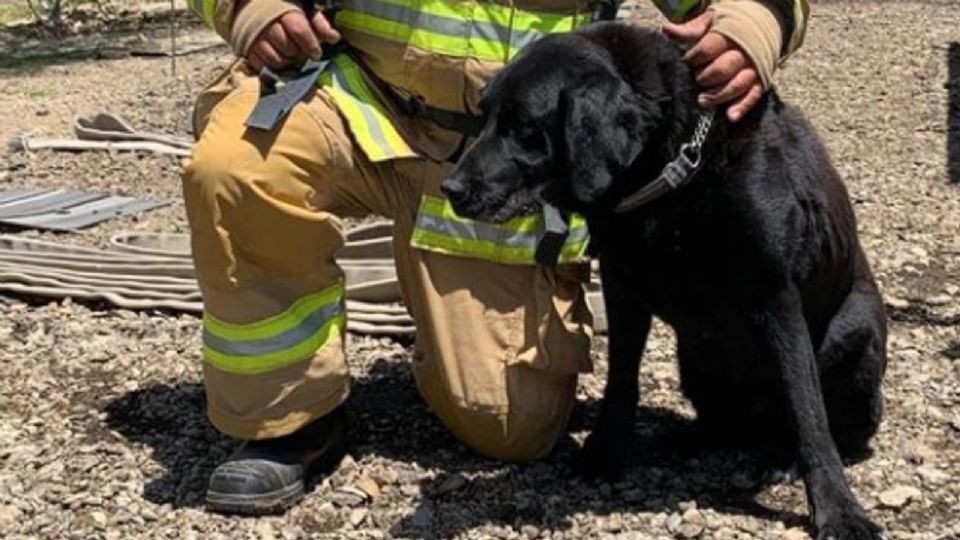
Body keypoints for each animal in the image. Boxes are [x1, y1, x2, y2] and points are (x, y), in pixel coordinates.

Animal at [442, 22, 884, 540]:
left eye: (525, 127)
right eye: (484, 114)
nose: (451, 189)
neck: (675, 170)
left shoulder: (774, 296)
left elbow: (807, 409)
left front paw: (838, 509)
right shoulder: (622, 286)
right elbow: (620, 381)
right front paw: (603, 453)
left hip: (853, 336)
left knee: (835, 428)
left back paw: (780, 458)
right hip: (694, 359)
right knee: (722, 424)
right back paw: (681, 437)